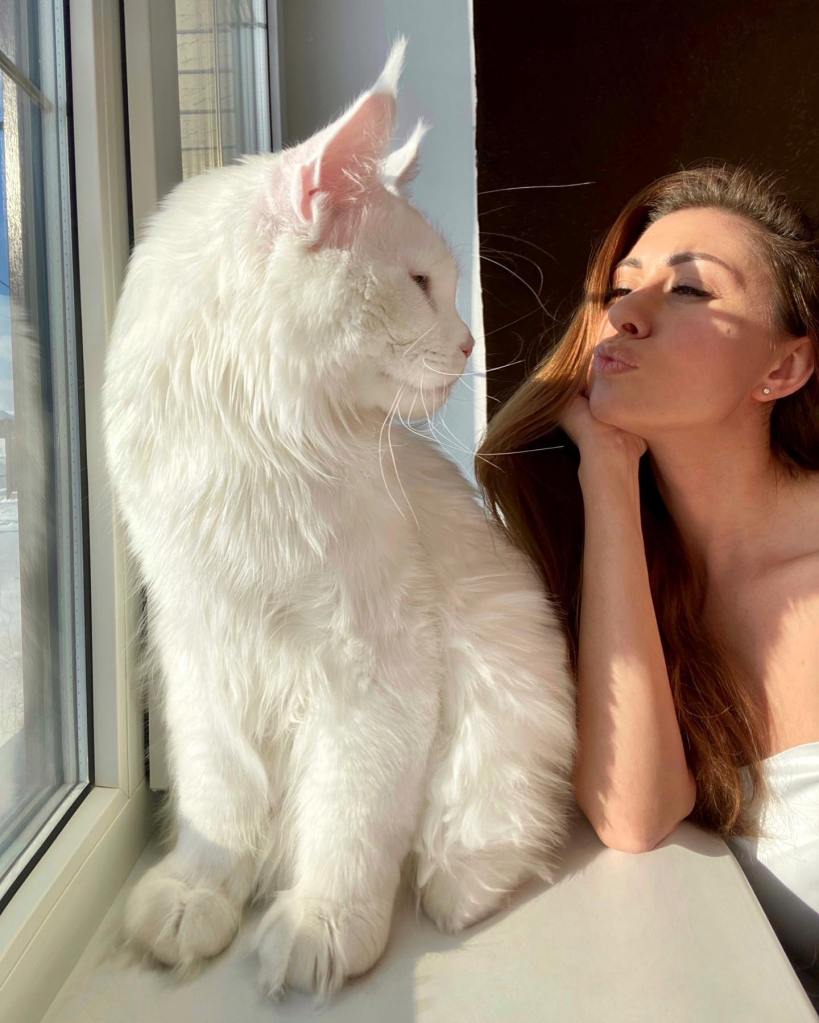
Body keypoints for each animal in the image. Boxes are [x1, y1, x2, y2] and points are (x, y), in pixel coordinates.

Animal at [102, 39, 576, 998]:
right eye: (421, 283)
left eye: (447, 286)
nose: (470, 343)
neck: (256, 451)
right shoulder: (197, 641)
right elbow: (219, 802)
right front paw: (200, 892)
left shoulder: (373, 660)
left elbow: (349, 818)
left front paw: (321, 924)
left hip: (505, 699)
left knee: (483, 830)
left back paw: (455, 892)